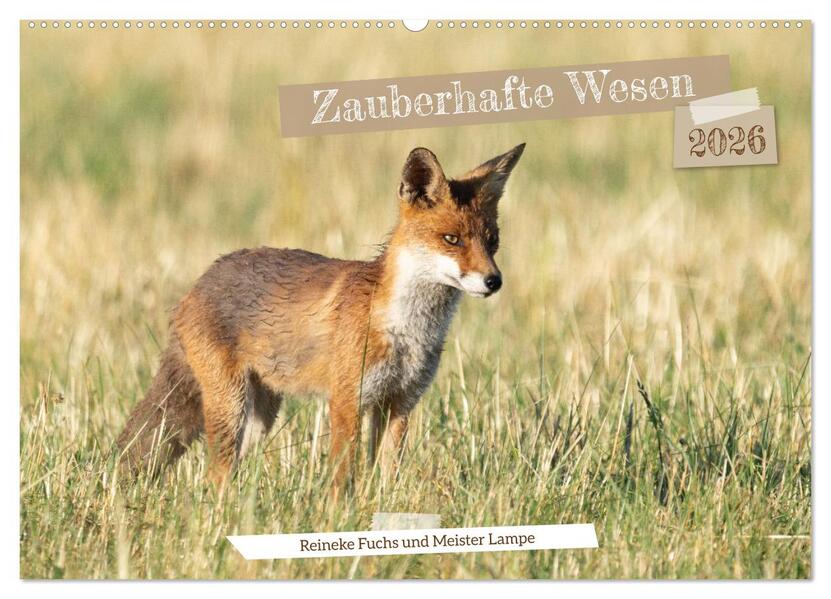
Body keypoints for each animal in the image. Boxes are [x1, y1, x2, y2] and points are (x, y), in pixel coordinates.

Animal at [115, 143, 525, 491]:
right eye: (451, 239)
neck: (405, 331)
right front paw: (339, 517)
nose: (494, 281)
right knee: (214, 476)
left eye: (492, 241)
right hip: (230, 407)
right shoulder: (346, 401)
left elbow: (387, 477)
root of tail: (197, 285)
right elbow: (342, 477)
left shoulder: (399, 403)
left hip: (260, 417)